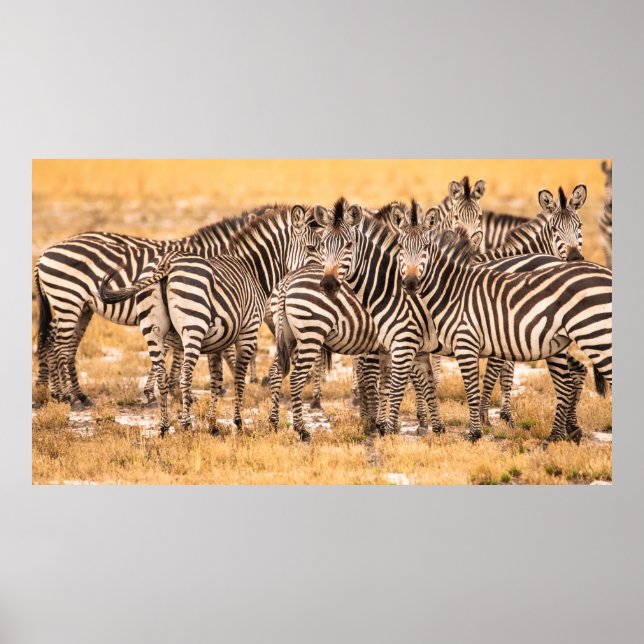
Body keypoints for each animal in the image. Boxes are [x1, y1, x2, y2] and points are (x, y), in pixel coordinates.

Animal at [99, 206, 321, 436]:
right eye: (312, 247)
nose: (323, 278)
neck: (252, 271)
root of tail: (168, 261)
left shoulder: (218, 341)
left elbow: (216, 380)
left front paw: (213, 425)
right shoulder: (248, 332)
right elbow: (238, 377)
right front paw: (238, 423)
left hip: (153, 330)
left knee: (162, 375)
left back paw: (163, 427)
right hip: (193, 327)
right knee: (186, 375)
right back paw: (186, 424)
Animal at [397, 227, 612, 442]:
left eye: (425, 247)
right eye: (400, 247)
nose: (410, 283)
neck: (453, 291)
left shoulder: (463, 341)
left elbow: (469, 389)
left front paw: (473, 434)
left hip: (595, 336)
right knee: (572, 378)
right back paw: (564, 433)